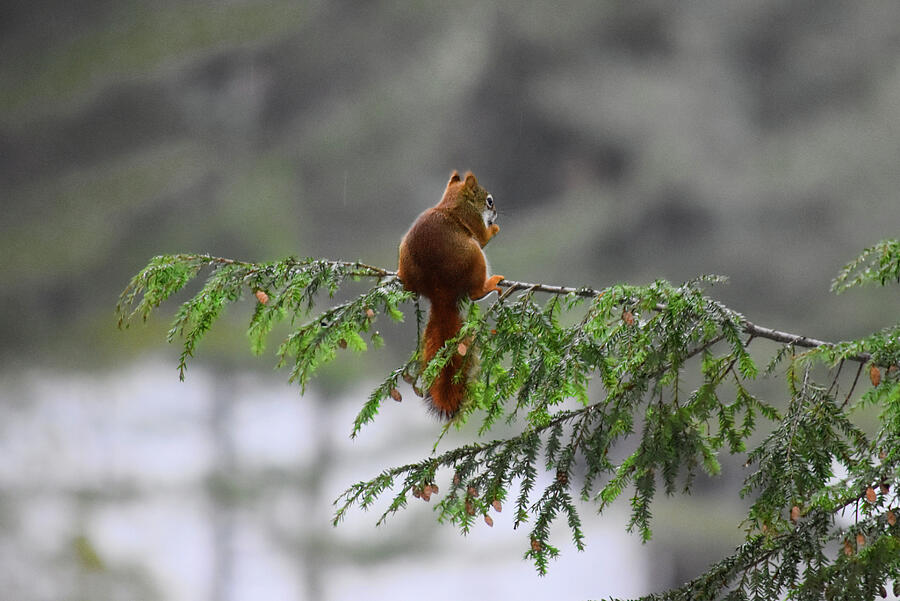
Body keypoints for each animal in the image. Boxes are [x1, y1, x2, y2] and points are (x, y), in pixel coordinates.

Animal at [397, 170, 504, 417]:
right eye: (489, 201)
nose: (496, 212)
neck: (451, 203)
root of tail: (440, 292)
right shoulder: (473, 221)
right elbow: (484, 237)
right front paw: (494, 229)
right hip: (474, 256)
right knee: (475, 292)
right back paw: (489, 285)